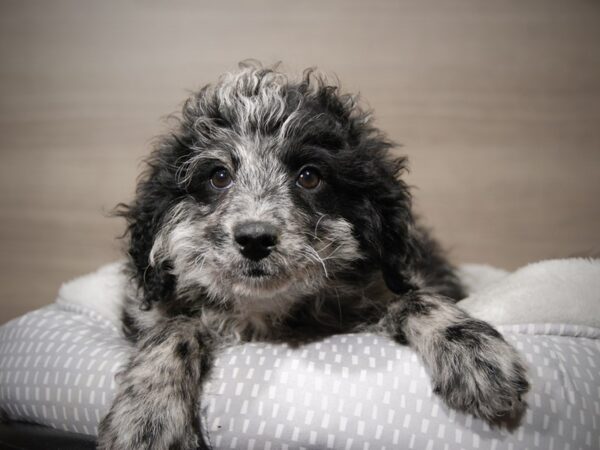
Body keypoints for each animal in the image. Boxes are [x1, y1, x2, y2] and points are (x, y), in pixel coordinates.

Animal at [98, 64, 528, 450]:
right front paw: (148, 414)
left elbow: (413, 298)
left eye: (309, 176)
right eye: (218, 176)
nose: (255, 239)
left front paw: (473, 352)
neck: (270, 312)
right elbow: (174, 327)